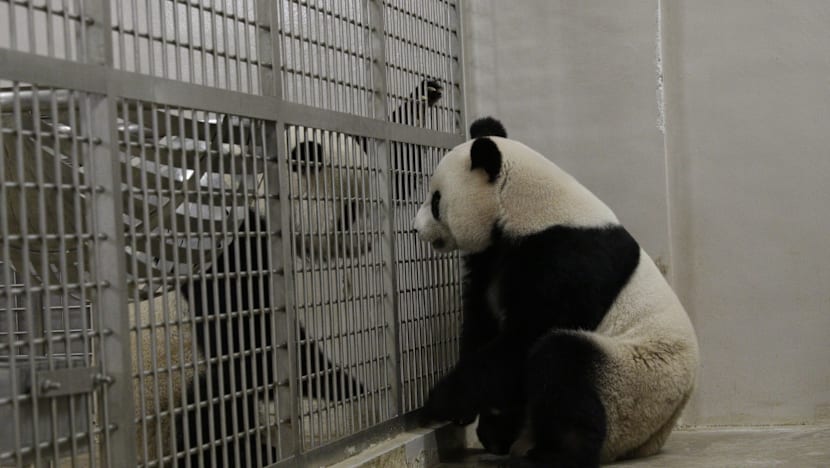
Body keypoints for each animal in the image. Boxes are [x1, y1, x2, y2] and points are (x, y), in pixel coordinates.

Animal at [414, 117, 699, 467]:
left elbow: (527, 337)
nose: (416, 227)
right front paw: (467, 413)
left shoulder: (568, 258)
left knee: (562, 362)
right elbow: (482, 322)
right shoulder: (493, 259)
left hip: (636, 381)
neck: (527, 207)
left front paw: (439, 402)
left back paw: (555, 453)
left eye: (436, 200)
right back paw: (501, 434)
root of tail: (651, 441)